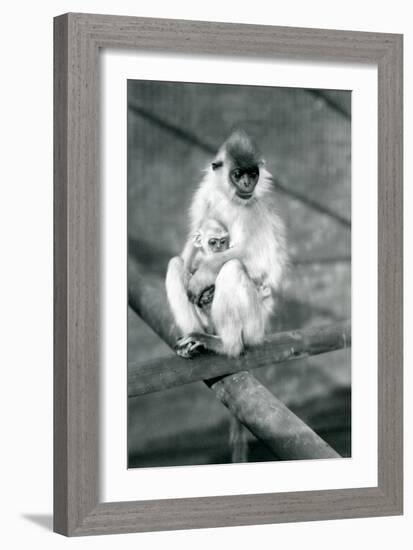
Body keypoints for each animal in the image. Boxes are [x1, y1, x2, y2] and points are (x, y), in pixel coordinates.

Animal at [164, 130, 286, 362]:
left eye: (253, 174)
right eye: (238, 174)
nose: (247, 184)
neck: (232, 200)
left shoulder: (253, 210)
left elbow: (257, 262)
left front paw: (202, 276)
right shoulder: (205, 194)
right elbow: (192, 242)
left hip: (254, 326)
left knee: (232, 267)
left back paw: (227, 345)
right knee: (176, 263)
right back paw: (195, 339)